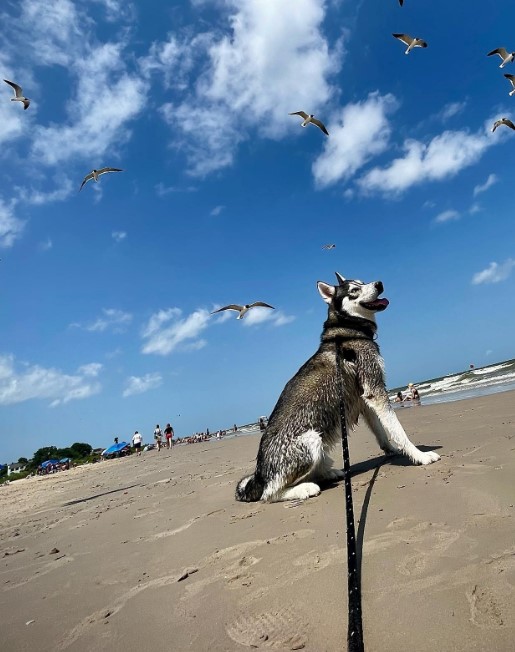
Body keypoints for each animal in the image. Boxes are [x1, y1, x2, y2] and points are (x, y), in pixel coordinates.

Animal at [236, 272, 442, 504]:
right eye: (354, 290)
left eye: (362, 282)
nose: (379, 284)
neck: (348, 332)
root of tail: (259, 475)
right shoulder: (375, 390)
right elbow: (398, 429)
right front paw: (419, 455)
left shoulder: (365, 398)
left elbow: (382, 431)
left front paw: (392, 450)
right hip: (311, 440)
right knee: (270, 494)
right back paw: (304, 488)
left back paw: (329, 473)